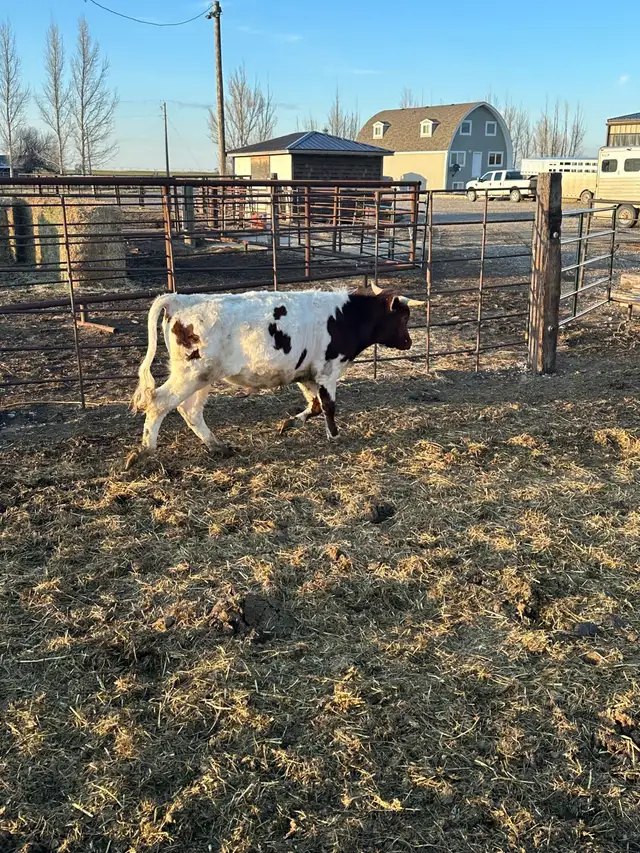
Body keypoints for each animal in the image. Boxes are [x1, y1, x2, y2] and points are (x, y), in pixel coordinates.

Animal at [129, 283, 423, 459]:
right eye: (404, 317)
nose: (408, 342)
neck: (344, 316)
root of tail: (180, 300)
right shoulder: (327, 371)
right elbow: (328, 406)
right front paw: (335, 435)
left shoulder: (306, 373)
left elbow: (315, 405)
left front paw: (289, 423)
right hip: (191, 374)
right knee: (159, 403)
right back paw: (146, 451)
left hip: (202, 378)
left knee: (189, 410)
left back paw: (217, 446)